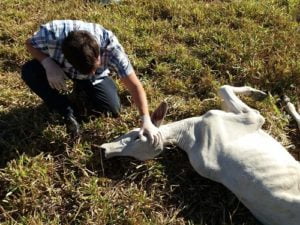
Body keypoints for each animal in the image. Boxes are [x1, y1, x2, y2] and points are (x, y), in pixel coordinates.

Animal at [100, 85, 300, 225]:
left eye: (136, 136)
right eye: (134, 158)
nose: (104, 151)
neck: (189, 133)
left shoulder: (250, 118)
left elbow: (224, 89)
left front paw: (258, 93)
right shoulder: (250, 118)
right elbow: (224, 89)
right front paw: (258, 93)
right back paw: (287, 101)